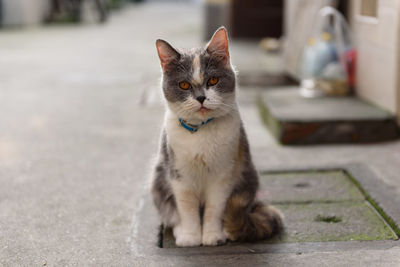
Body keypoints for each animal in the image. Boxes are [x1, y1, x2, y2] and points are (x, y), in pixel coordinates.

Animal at [151, 26, 284, 247]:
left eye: (213, 80)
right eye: (184, 85)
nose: (201, 98)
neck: (201, 132)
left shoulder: (223, 175)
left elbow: (215, 208)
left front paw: (212, 236)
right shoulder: (179, 176)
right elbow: (187, 209)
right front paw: (191, 237)